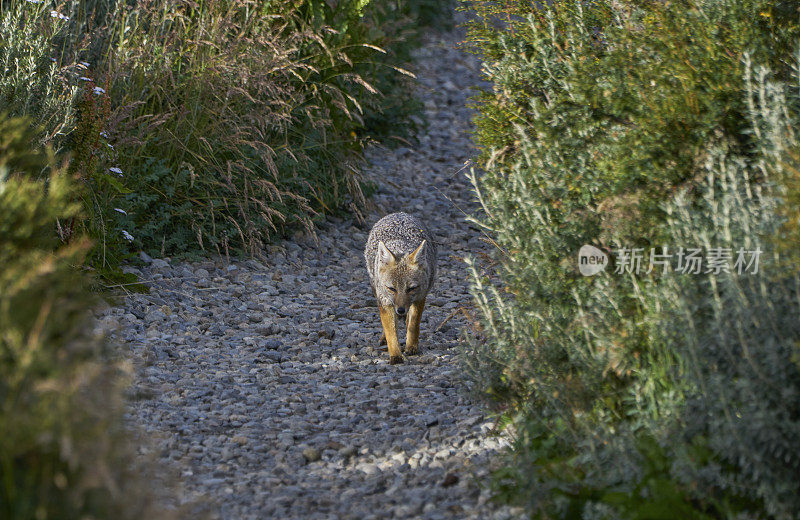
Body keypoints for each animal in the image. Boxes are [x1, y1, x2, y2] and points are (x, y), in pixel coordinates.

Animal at [364, 211, 438, 366]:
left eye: (411, 288)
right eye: (392, 288)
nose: (401, 309)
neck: (401, 248)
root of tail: (399, 213)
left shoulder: (420, 297)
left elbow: (414, 324)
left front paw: (411, 346)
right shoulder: (385, 301)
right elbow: (391, 331)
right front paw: (396, 355)